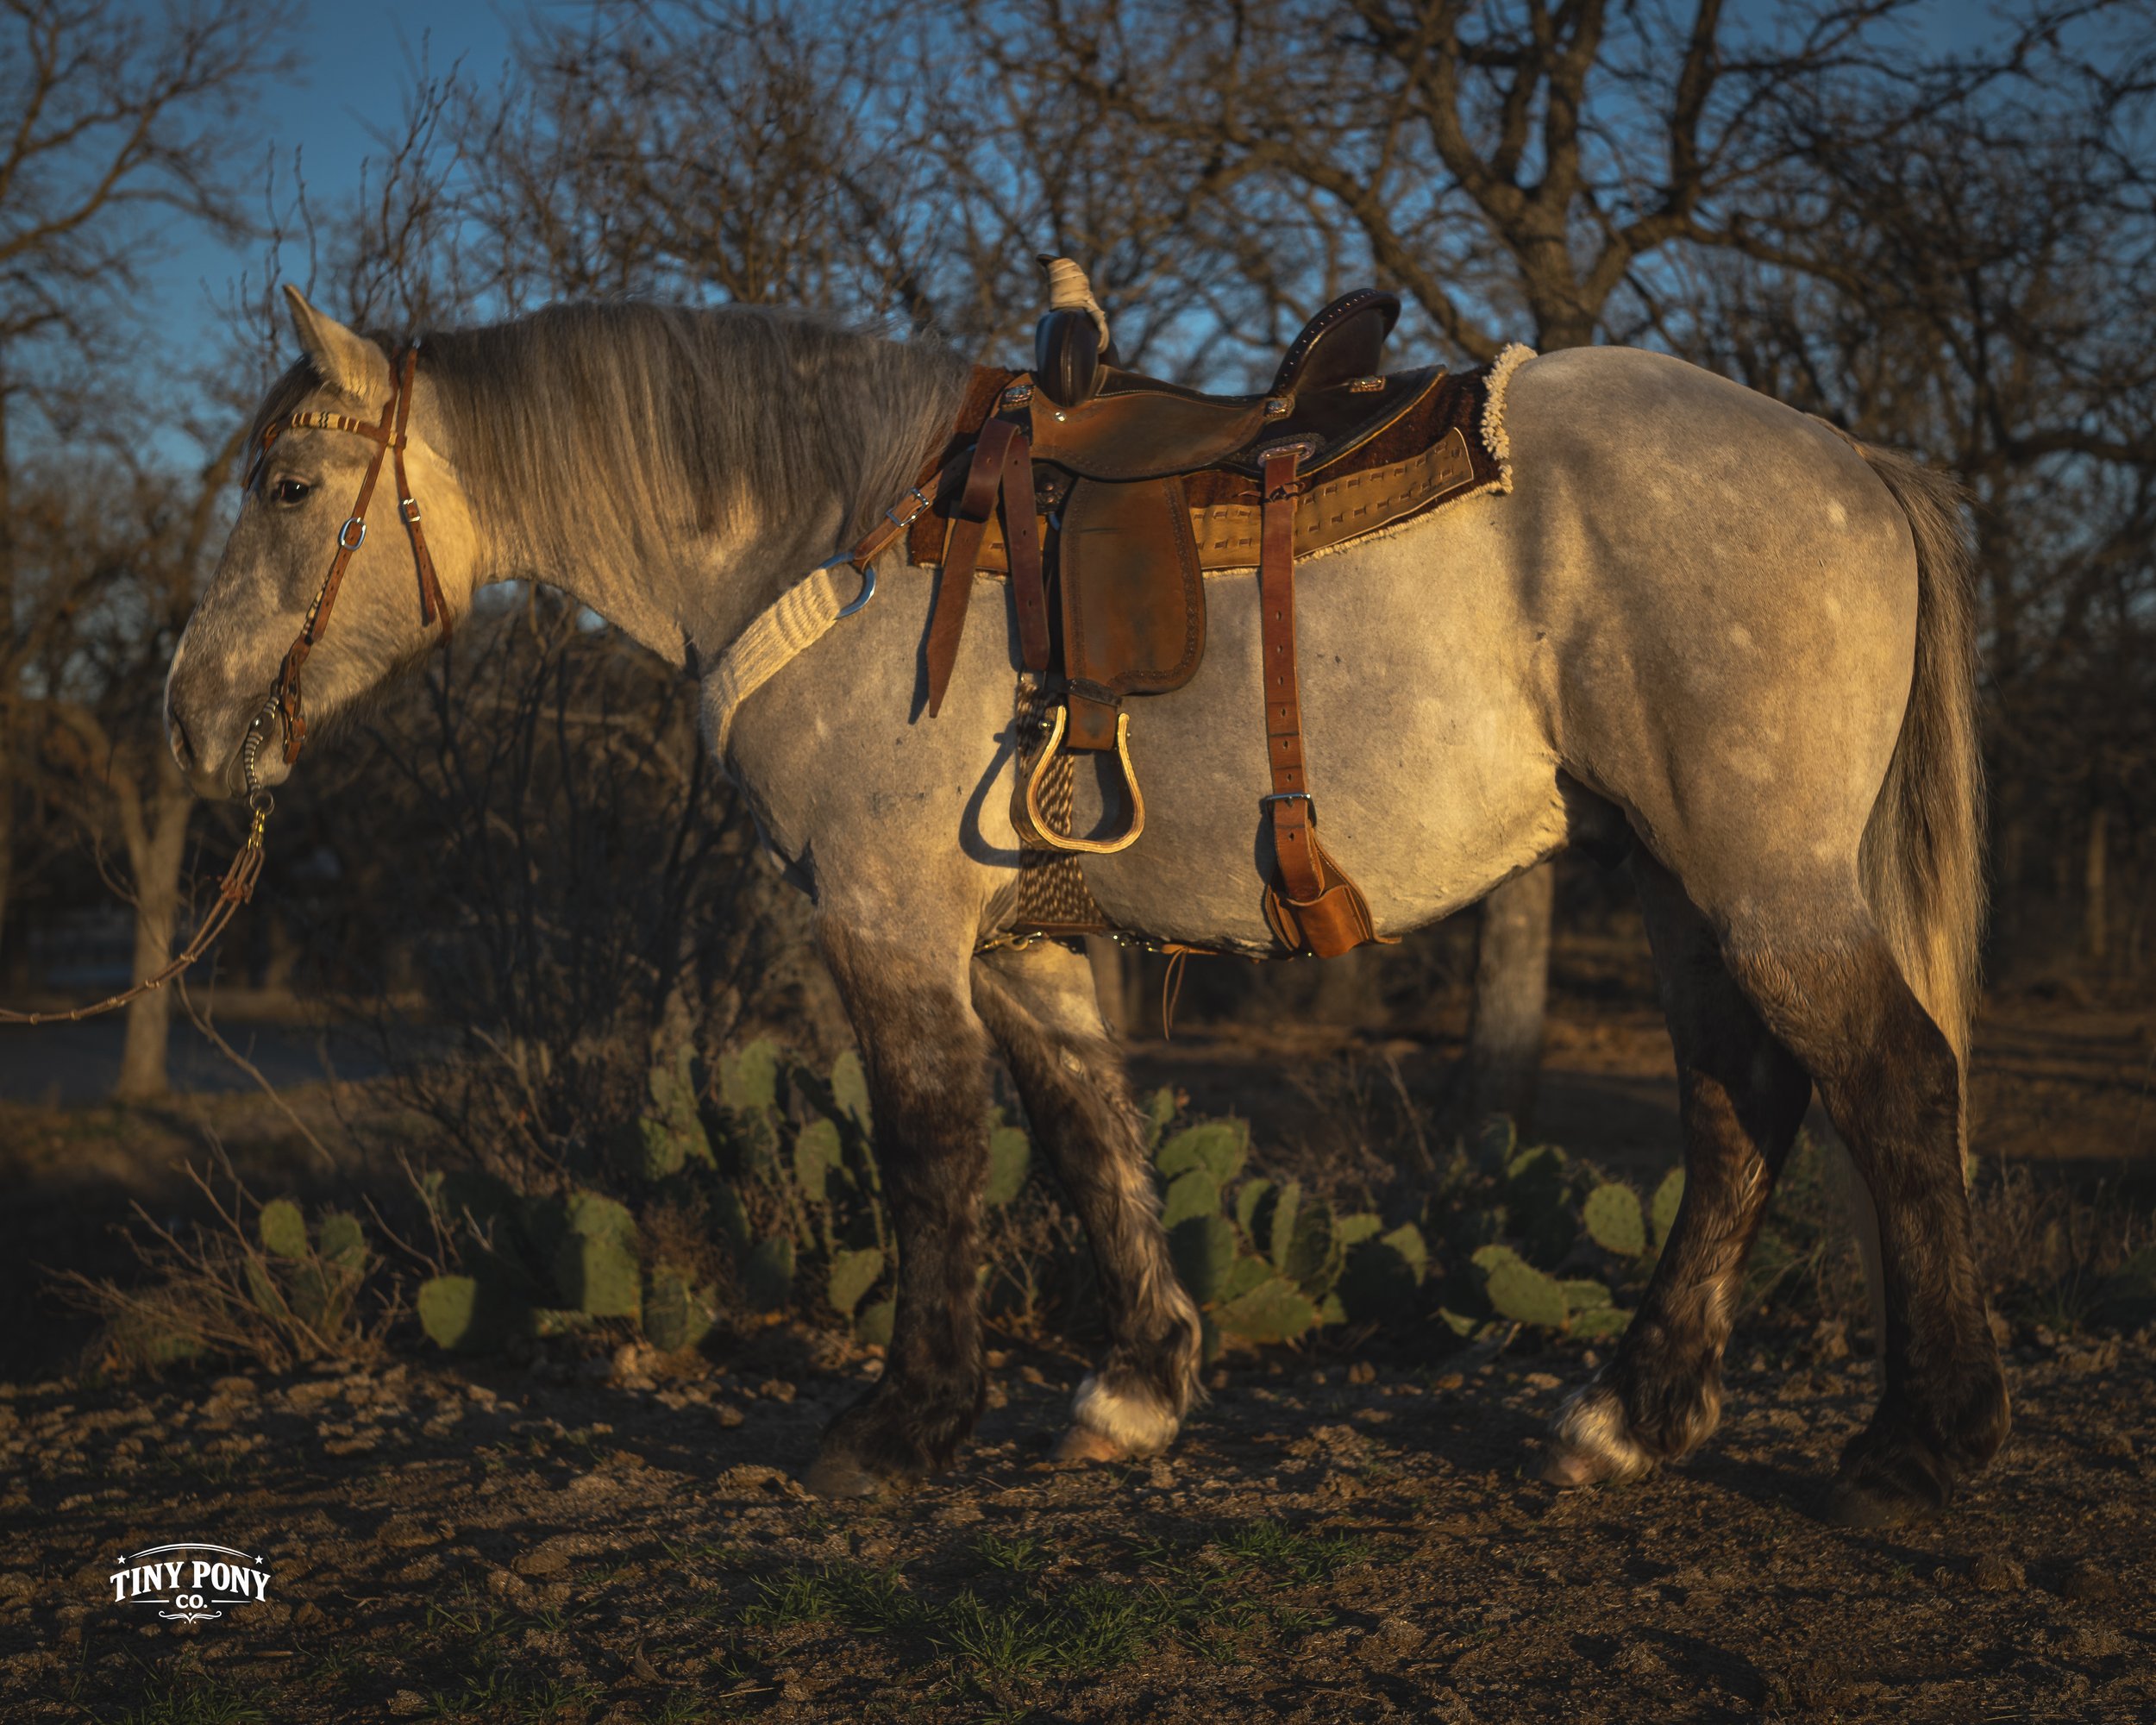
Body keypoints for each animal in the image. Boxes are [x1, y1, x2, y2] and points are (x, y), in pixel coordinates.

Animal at [165, 287, 2009, 1527]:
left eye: (284, 492)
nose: (188, 712)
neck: (827, 533)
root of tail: (1849, 460)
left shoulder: (889, 924)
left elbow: (927, 1156)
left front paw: (903, 1430)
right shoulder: (1026, 944)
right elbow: (1084, 1137)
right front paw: (1135, 1388)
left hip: (1763, 884)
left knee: (1896, 1088)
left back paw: (1921, 1451)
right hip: (1695, 887)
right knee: (1744, 1104)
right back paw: (1635, 1415)